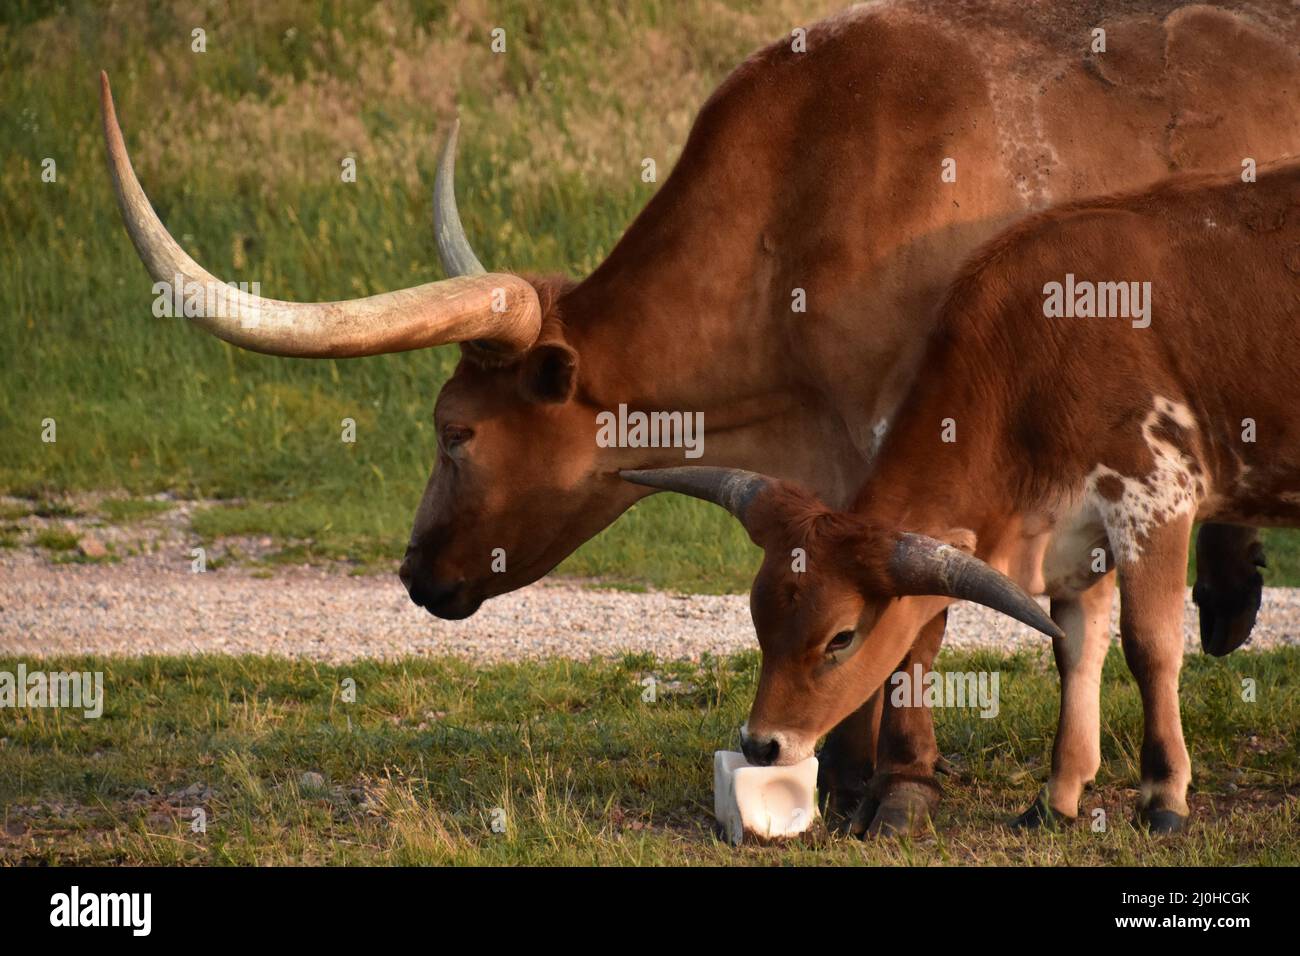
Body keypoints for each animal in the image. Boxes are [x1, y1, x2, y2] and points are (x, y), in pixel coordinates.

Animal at [621, 154, 1300, 833]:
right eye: (759, 616)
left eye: (841, 637)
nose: (761, 744)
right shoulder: (1080, 537)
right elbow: (1076, 653)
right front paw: (1057, 795)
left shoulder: (1153, 494)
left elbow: (1150, 646)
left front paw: (1163, 795)